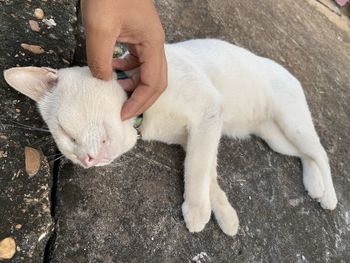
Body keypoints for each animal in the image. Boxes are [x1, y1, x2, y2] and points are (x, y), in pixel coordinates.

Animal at [2, 39, 336, 237]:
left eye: (66, 133)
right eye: (70, 149)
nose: (87, 160)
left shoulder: (209, 112)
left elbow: (197, 168)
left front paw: (197, 210)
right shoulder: (200, 133)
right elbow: (207, 172)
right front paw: (224, 214)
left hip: (292, 123)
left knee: (320, 153)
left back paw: (329, 196)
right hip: (276, 139)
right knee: (305, 155)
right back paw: (314, 184)